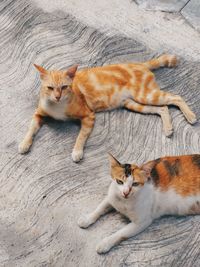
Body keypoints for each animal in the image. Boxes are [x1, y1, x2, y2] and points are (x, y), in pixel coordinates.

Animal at [18, 54, 196, 162]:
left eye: (64, 87)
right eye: (49, 88)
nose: (57, 96)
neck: (57, 106)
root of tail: (140, 63)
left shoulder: (88, 116)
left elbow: (81, 136)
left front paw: (77, 151)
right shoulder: (38, 114)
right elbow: (31, 128)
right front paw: (24, 143)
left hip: (146, 95)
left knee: (176, 97)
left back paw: (191, 116)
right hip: (134, 103)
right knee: (163, 108)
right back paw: (168, 128)